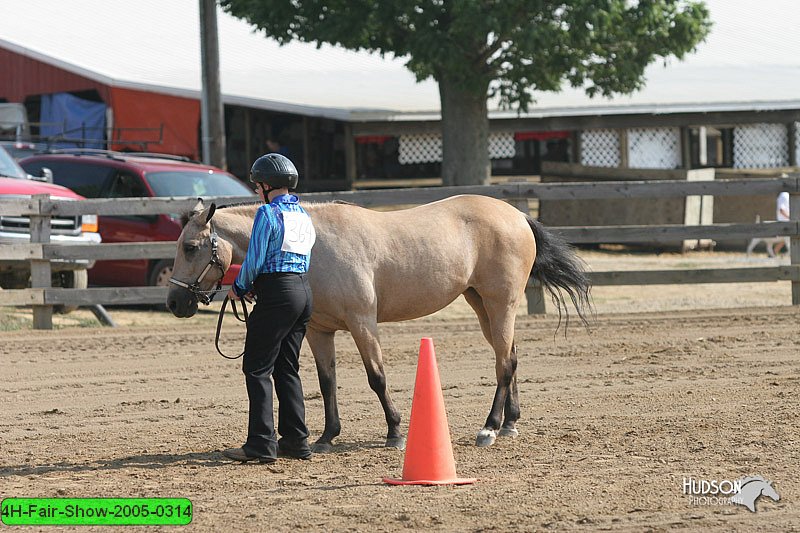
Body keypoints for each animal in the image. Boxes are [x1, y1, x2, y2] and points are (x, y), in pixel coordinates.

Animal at [167, 193, 592, 450]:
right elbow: (327, 382)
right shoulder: (319, 330)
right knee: (510, 357)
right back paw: (509, 423)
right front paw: (326, 437)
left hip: (499, 304)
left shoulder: (362, 323)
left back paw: (489, 427)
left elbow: (377, 378)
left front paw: (395, 432)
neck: (313, 244)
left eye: (190, 246)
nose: (174, 302)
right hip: (482, 305)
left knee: (504, 363)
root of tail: (517, 214)